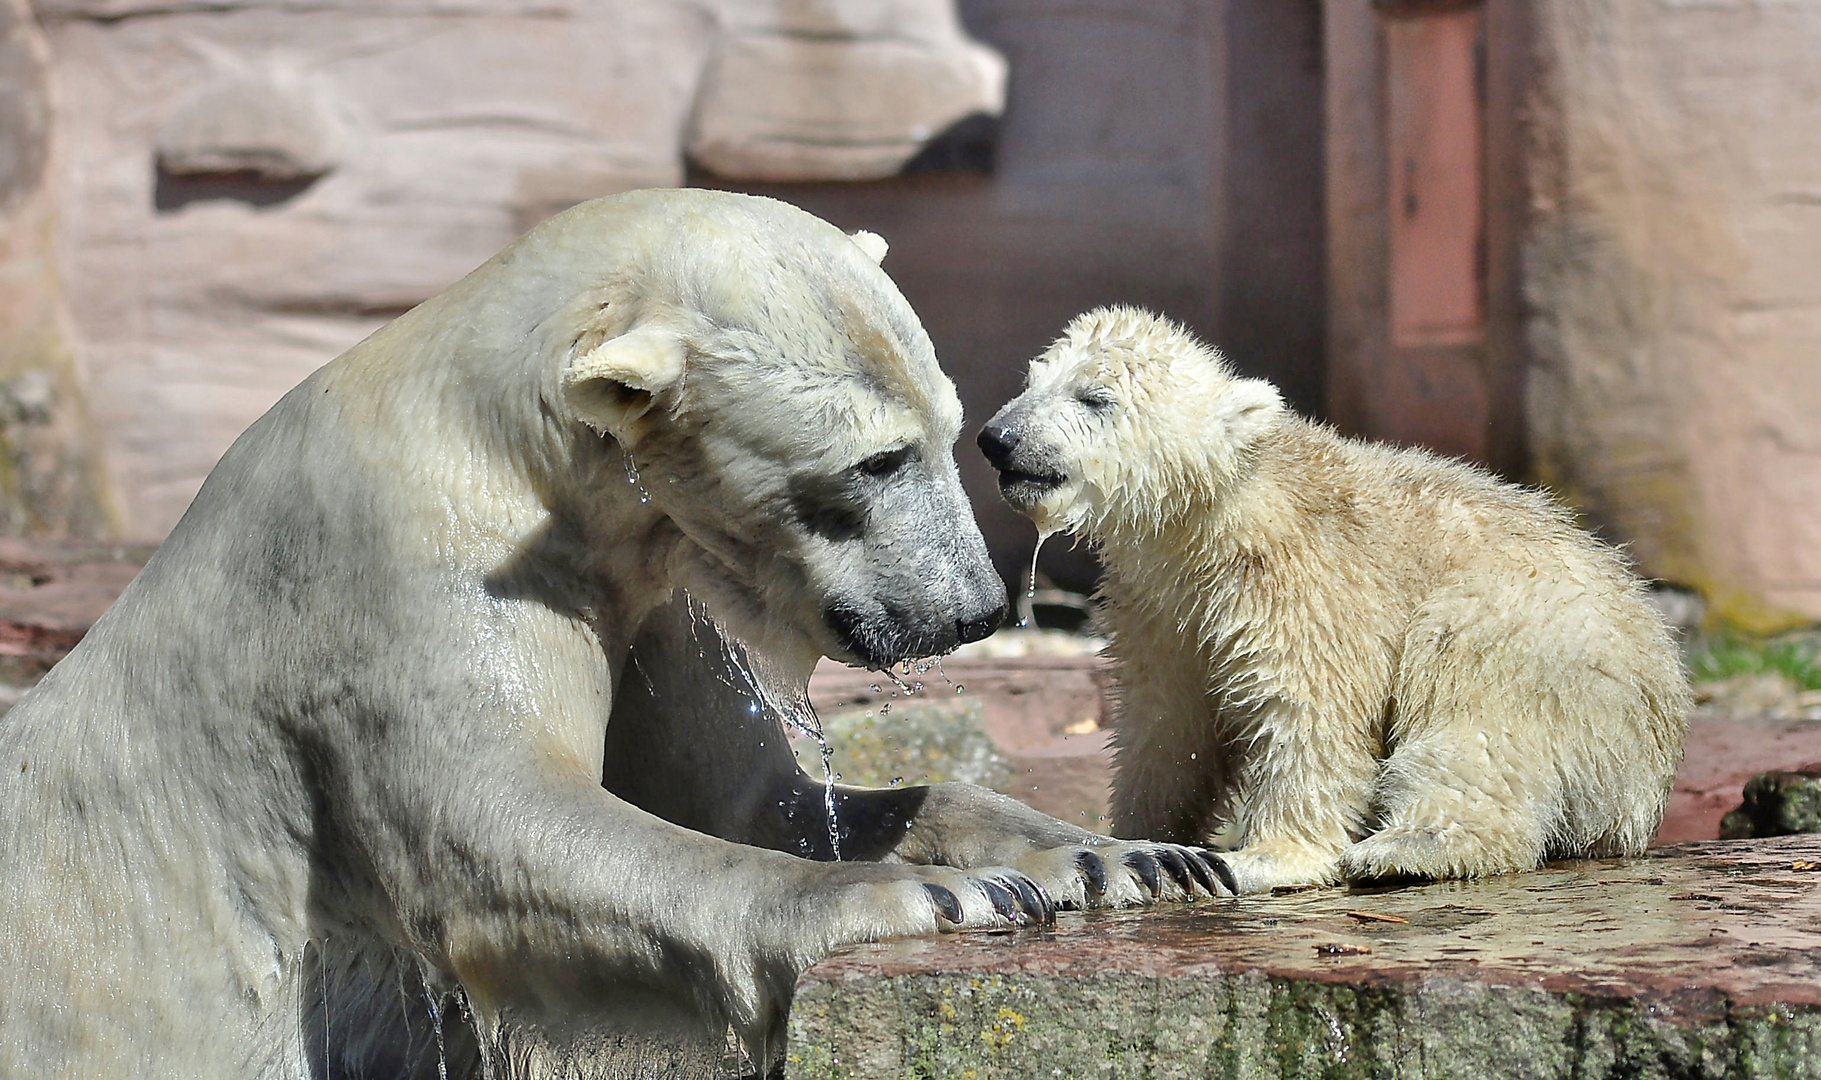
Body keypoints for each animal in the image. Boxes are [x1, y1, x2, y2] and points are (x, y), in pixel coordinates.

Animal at [7, 189, 1223, 1070]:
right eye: (875, 460)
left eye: (954, 429)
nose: (970, 609)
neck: (521, 454)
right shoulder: (406, 570)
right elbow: (502, 831)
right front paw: (945, 895)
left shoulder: (654, 592)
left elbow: (754, 798)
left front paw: (1128, 859)